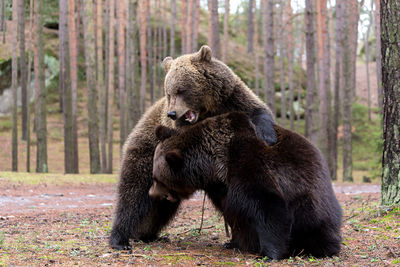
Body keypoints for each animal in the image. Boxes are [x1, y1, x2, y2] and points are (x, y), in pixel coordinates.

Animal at [109, 46, 278, 251]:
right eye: (169, 93)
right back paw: (120, 239)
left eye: (181, 90)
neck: (207, 109)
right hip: (145, 155)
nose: (172, 113)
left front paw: (268, 136)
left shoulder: (233, 97)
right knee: (132, 195)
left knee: (162, 207)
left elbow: (258, 110)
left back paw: (148, 234)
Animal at [152, 112, 342, 260]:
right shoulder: (221, 191)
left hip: (310, 203)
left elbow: (267, 205)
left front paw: (270, 253)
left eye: (158, 179)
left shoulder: (246, 162)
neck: (213, 166)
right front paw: (233, 242)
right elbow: (234, 215)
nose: (152, 194)